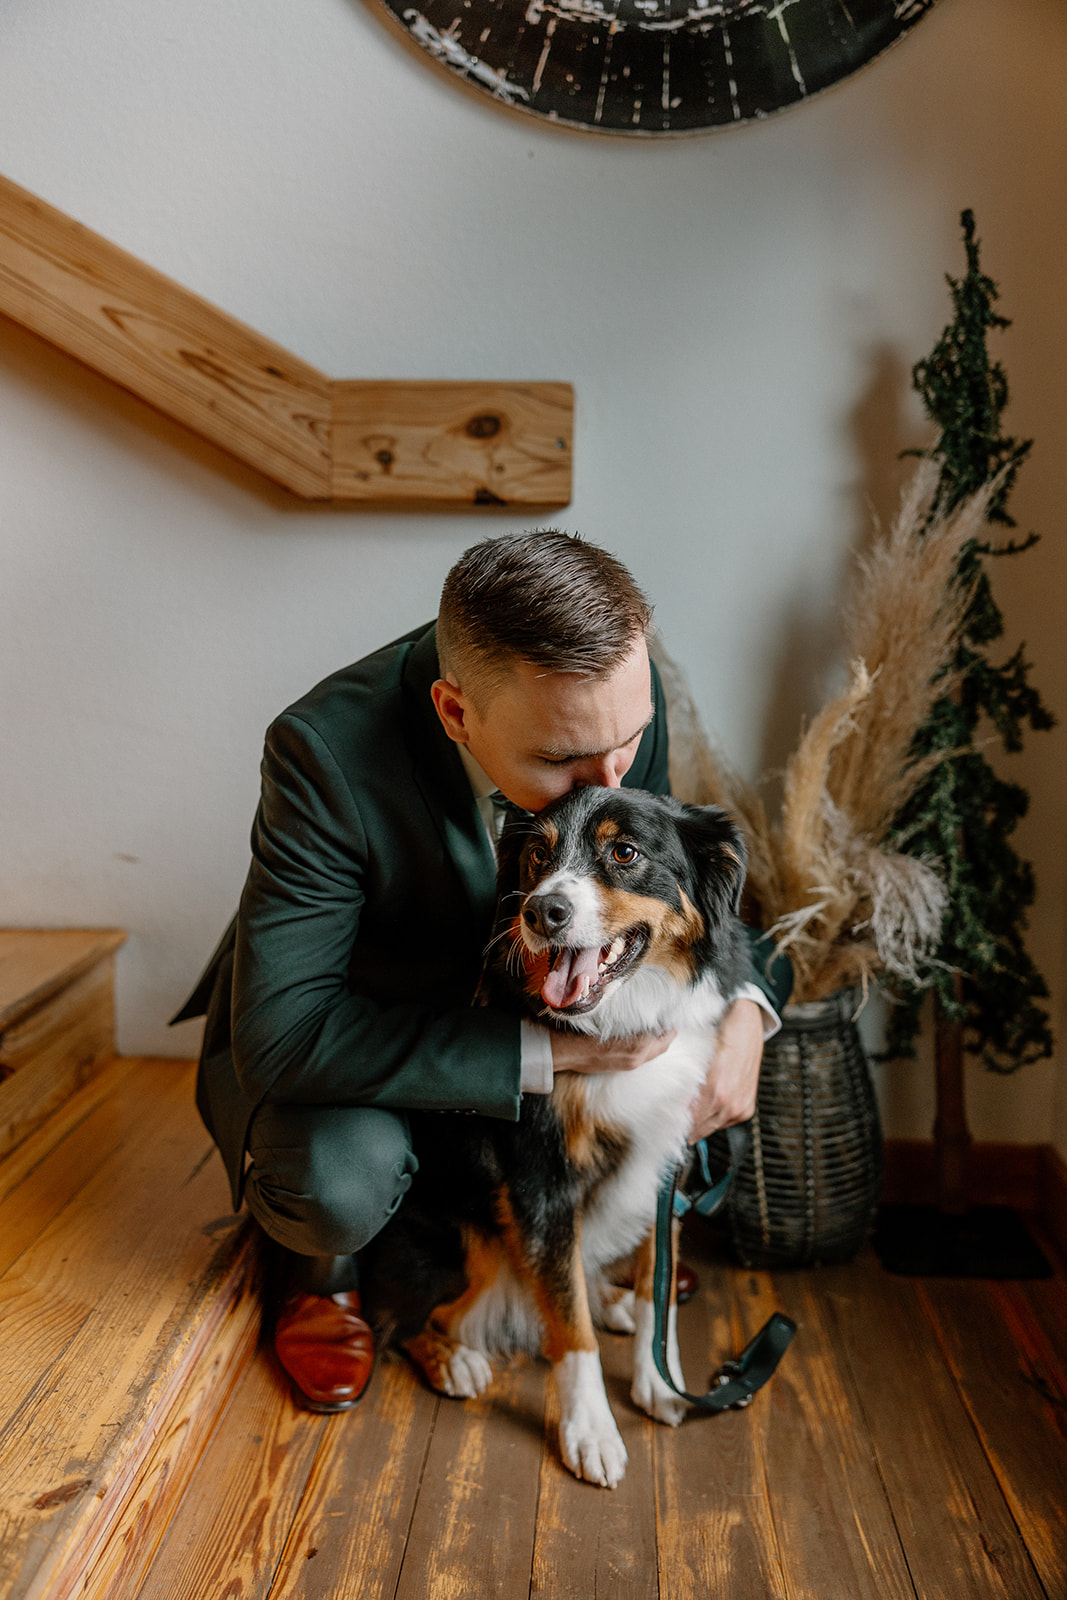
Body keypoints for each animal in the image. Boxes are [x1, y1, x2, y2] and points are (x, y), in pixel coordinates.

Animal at [367, 787, 751, 1484]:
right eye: (539, 856)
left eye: (624, 853)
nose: (543, 911)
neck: (618, 1020)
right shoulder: (541, 1183)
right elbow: (570, 1331)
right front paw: (590, 1429)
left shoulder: (668, 1161)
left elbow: (658, 1282)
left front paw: (657, 1377)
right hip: (464, 1247)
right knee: (404, 1313)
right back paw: (453, 1359)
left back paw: (609, 1300)